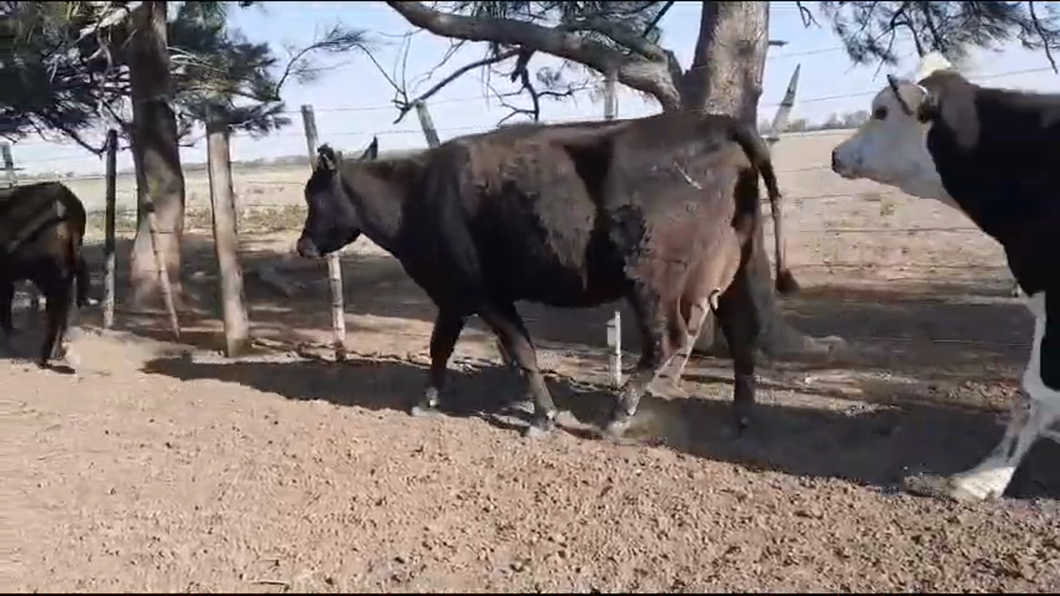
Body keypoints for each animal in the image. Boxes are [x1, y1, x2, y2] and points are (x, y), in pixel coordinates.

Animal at [0, 178, 89, 369]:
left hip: (51, 277)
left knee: (56, 312)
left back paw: (46, 357)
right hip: (63, 276)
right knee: (63, 311)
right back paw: (56, 352)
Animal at [296, 112, 797, 436]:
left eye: (313, 195)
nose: (302, 246)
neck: (415, 195)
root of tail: (717, 122)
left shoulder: (485, 293)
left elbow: (520, 351)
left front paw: (542, 418)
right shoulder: (456, 296)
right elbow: (442, 346)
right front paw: (429, 399)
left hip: (652, 279)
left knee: (667, 340)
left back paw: (618, 416)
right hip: (738, 268)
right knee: (741, 331)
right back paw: (742, 416)